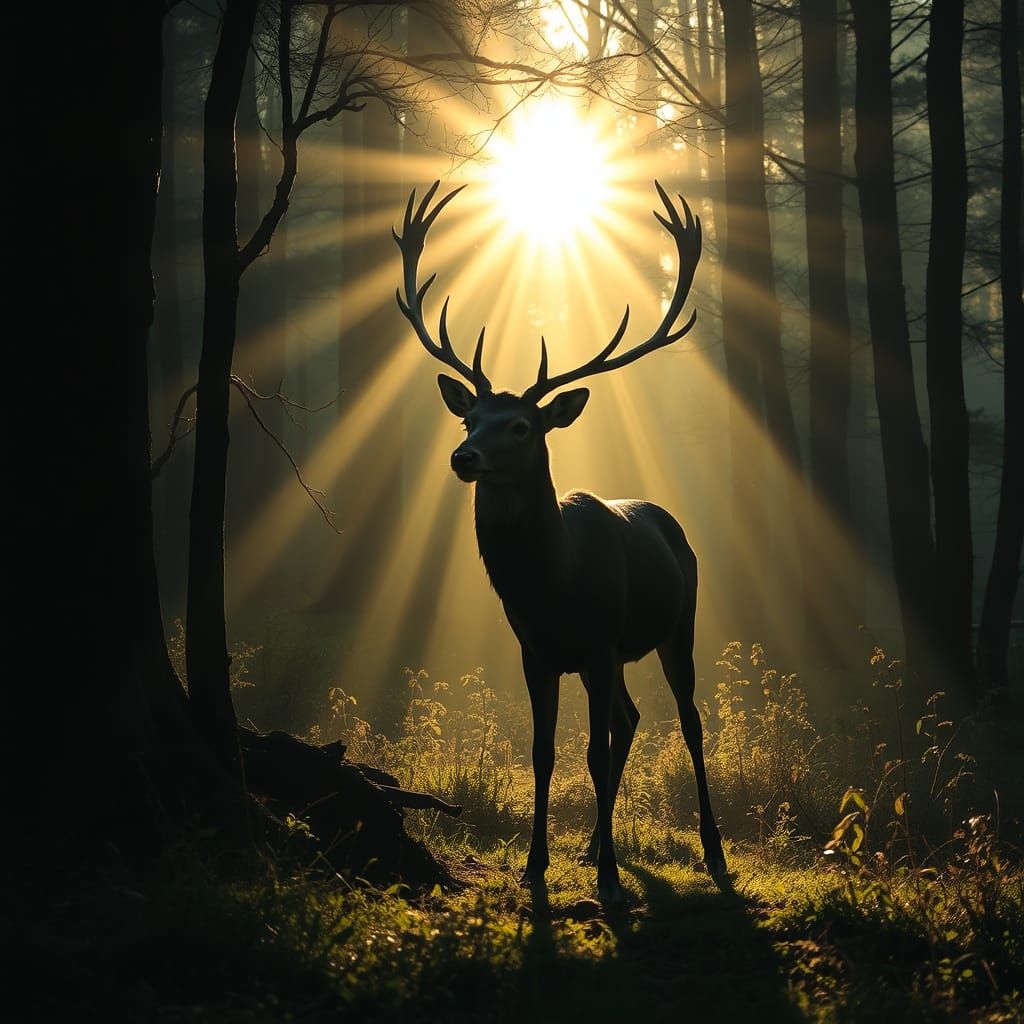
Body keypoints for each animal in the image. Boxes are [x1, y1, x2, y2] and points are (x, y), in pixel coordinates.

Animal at [392, 181, 726, 903]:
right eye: (468, 417)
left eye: (521, 425)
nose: (463, 457)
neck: (553, 586)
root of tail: (673, 524)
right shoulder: (536, 650)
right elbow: (545, 753)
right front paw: (537, 864)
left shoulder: (598, 643)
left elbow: (591, 753)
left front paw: (609, 882)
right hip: (623, 652)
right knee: (630, 718)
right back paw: (598, 842)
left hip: (676, 624)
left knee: (686, 721)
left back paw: (713, 851)